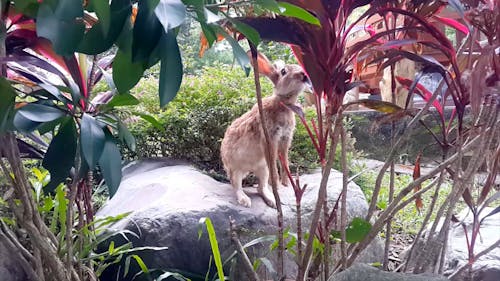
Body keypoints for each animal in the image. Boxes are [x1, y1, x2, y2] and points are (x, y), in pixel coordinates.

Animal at [222, 52, 310, 207]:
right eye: (283, 71)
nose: (304, 75)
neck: (283, 103)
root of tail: (248, 170)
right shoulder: (269, 138)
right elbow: (274, 162)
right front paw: (279, 185)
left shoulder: (285, 138)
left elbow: (285, 160)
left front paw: (286, 183)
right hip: (235, 169)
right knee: (237, 186)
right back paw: (245, 201)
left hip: (262, 169)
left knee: (261, 187)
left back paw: (273, 201)